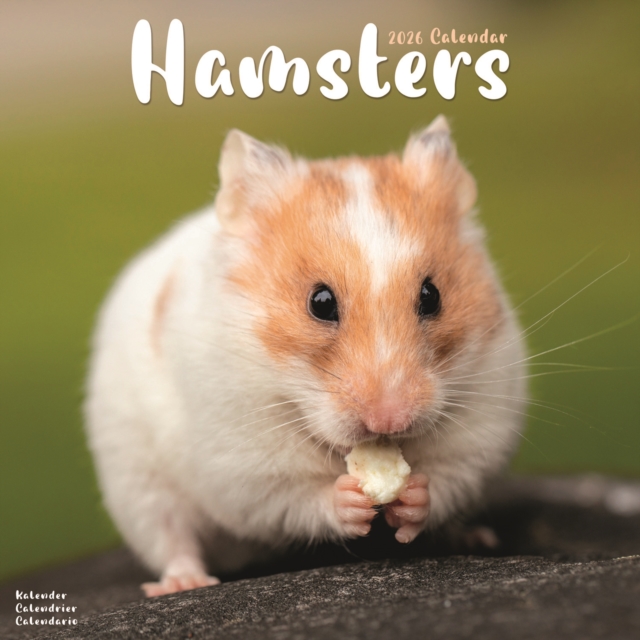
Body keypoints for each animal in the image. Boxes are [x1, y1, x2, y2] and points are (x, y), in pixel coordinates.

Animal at [84, 115, 526, 597]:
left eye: (432, 296)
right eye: (320, 302)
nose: (390, 421)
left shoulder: (480, 428)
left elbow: (445, 479)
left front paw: (411, 497)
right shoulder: (243, 465)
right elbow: (297, 499)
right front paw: (350, 500)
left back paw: (475, 537)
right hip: (136, 480)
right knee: (170, 535)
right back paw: (183, 583)